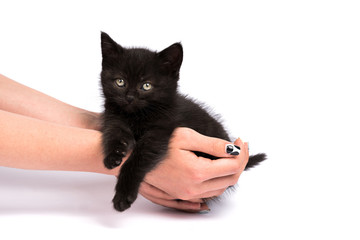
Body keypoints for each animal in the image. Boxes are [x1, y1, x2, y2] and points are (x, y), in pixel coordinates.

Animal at [100, 31, 266, 212]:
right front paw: (113, 156)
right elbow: (115, 134)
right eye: (120, 82)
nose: (129, 98)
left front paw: (123, 196)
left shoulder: (160, 131)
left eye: (146, 85)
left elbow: (139, 157)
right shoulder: (114, 118)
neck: (136, 116)